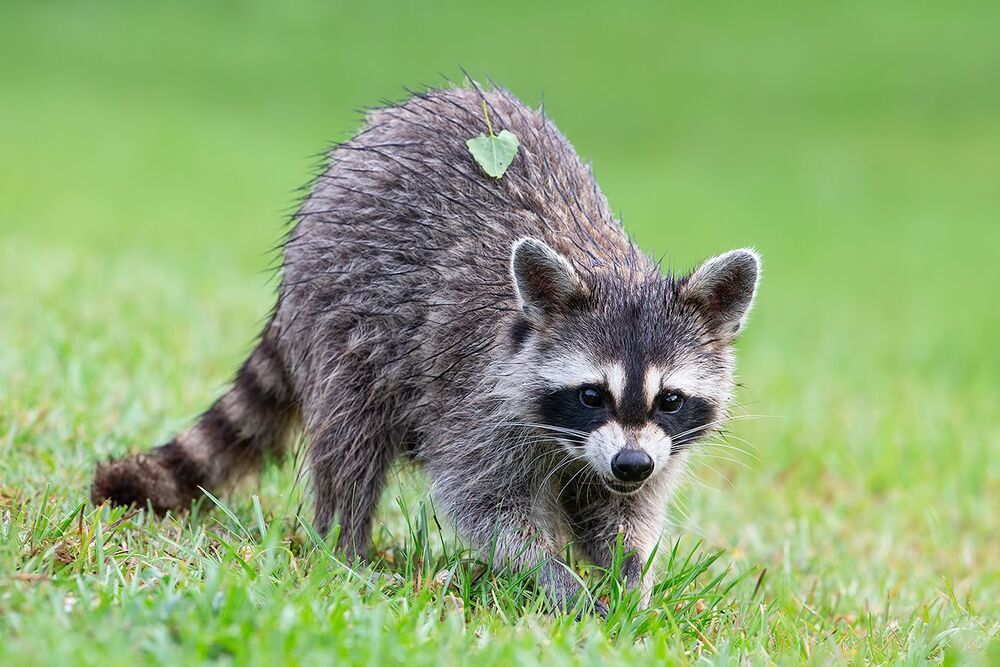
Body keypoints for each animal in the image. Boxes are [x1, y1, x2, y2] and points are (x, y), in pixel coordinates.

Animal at [91, 84, 760, 614]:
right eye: (592, 395)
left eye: (670, 399)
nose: (631, 464)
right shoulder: (478, 404)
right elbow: (484, 506)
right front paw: (553, 576)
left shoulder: (650, 449)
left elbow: (622, 515)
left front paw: (631, 577)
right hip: (341, 315)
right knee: (350, 437)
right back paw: (343, 548)